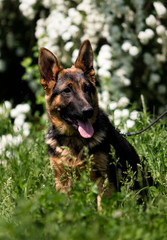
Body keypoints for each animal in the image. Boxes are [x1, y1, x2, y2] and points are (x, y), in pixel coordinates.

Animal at [38, 39, 143, 210]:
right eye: (67, 90)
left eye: (86, 88)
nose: (88, 111)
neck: (74, 139)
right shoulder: (62, 181)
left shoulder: (104, 179)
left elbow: (103, 207)